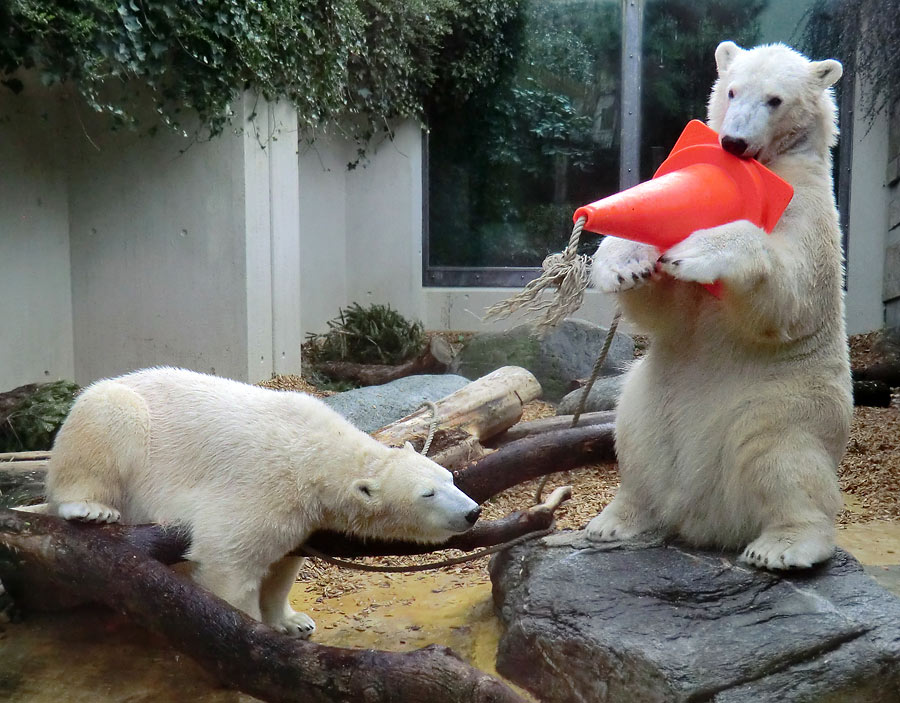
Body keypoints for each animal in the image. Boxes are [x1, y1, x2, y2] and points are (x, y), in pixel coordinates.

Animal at [47, 368, 486, 640]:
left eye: (450, 478)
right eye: (427, 494)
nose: (472, 511)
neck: (317, 452)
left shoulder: (300, 512)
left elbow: (283, 564)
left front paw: (294, 622)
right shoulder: (266, 485)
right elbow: (229, 559)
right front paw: (250, 633)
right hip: (115, 420)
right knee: (108, 421)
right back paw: (89, 508)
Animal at [588, 40, 856, 572]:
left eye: (774, 99)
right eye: (732, 90)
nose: (731, 142)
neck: (769, 165)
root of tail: (704, 516)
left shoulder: (809, 204)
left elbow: (789, 294)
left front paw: (698, 251)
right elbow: (668, 310)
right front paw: (623, 261)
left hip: (784, 402)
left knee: (781, 459)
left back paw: (782, 546)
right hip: (654, 399)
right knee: (634, 439)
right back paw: (617, 519)